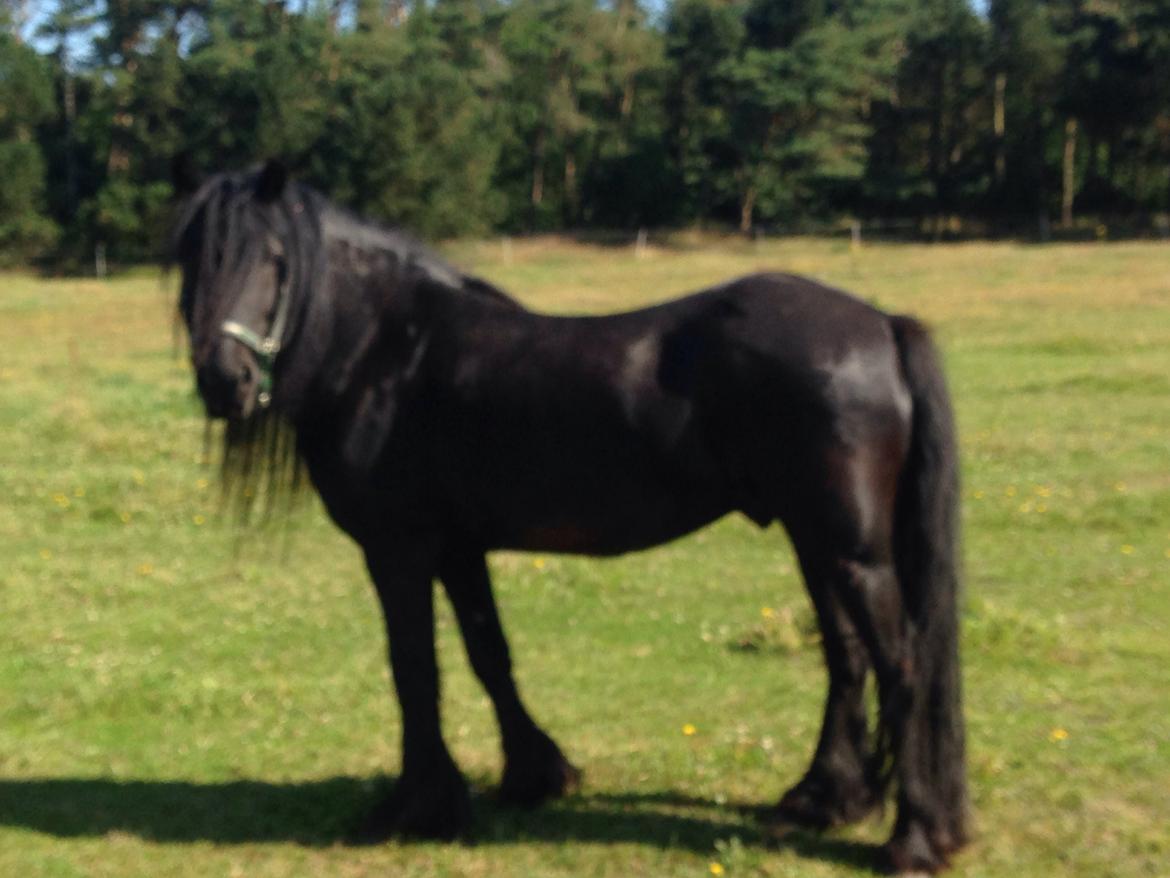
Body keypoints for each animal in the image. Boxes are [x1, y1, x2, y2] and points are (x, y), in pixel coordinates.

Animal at [169, 160, 969, 874]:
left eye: (274, 260)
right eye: (192, 263)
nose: (224, 383)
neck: (386, 352)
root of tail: (881, 325)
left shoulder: (399, 549)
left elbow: (414, 668)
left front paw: (414, 807)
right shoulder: (458, 547)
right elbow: (488, 655)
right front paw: (533, 774)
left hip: (849, 549)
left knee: (900, 663)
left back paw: (914, 841)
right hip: (815, 540)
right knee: (848, 658)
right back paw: (823, 800)